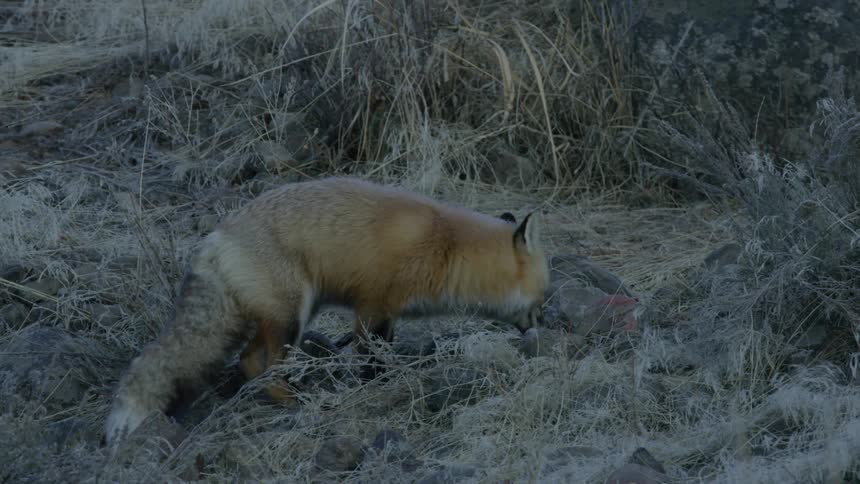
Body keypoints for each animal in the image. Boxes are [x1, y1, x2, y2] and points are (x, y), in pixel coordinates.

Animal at [104, 176, 550, 448]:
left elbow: (383, 351)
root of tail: (214, 238)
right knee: (265, 367)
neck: (447, 247)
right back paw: (296, 402)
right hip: (292, 317)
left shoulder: (387, 314)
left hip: (281, 316)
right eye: (541, 300)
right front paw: (376, 390)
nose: (541, 328)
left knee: (248, 361)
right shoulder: (372, 307)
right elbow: (371, 360)